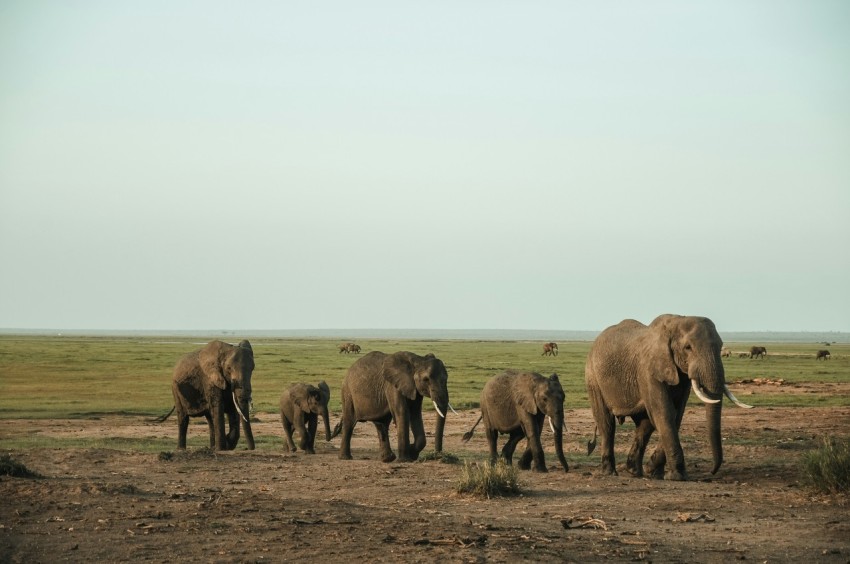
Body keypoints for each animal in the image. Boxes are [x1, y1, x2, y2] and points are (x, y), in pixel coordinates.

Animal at [585, 315, 752, 481]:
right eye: (688, 347)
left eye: (720, 346)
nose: (712, 472)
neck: (676, 323)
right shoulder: (648, 371)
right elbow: (664, 414)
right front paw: (677, 476)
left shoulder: (681, 377)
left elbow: (676, 416)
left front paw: (654, 472)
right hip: (593, 376)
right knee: (607, 424)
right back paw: (609, 472)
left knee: (644, 426)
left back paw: (634, 472)